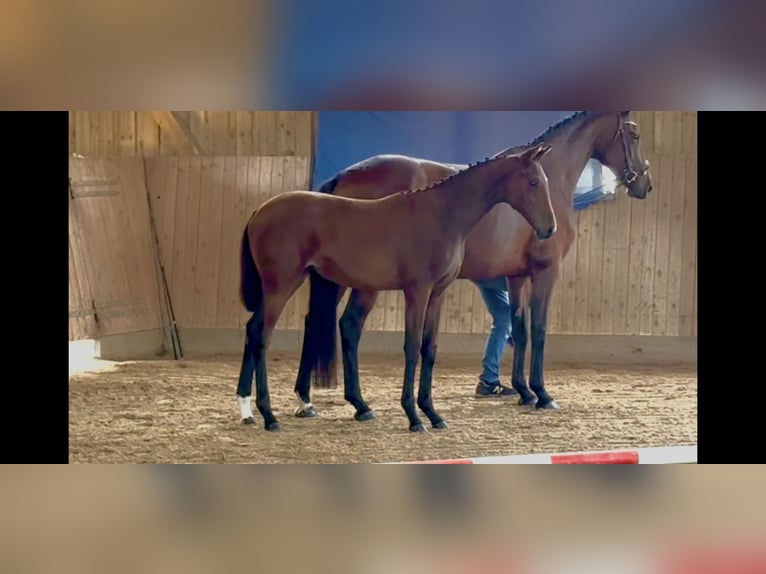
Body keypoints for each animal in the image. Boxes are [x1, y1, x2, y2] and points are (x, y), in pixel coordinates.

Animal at [236, 143, 556, 432]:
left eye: (545, 181)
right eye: (533, 182)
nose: (550, 229)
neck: (442, 214)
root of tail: (259, 211)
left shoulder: (437, 294)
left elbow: (429, 348)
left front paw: (433, 414)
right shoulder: (417, 291)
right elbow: (412, 347)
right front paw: (414, 417)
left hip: (280, 288)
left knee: (254, 329)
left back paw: (248, 409)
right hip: (282, 286)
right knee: (263, 337)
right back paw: (269, 416)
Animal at [295, 111, 652, 420]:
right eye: (634, 134)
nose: (644, 184)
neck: (551, 175)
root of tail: (342, 177)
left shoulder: (516, 276)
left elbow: (518, 328)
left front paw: (523, 391)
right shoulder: (545, 272)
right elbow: (538, 330)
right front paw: (542, 393)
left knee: (324, 322)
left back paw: (317, 400)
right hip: (359, 280)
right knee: (346, 325)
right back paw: (347, 403)